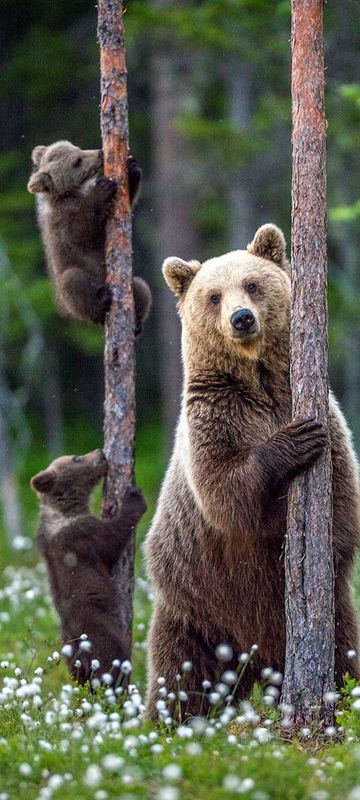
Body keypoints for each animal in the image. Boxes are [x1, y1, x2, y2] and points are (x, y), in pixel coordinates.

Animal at [145, 223, 360, 720]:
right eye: (213, 295)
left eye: (253, 284)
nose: (241, 318)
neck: (258, 380)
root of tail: (256, 656)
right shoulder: (215, 418)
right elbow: (226, 494)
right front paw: (293, 443)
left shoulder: (321, 413)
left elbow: (343, 499)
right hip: (195, 606)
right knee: (181, 676)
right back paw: (163, 724)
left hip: (331, 615)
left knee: (344, 653)